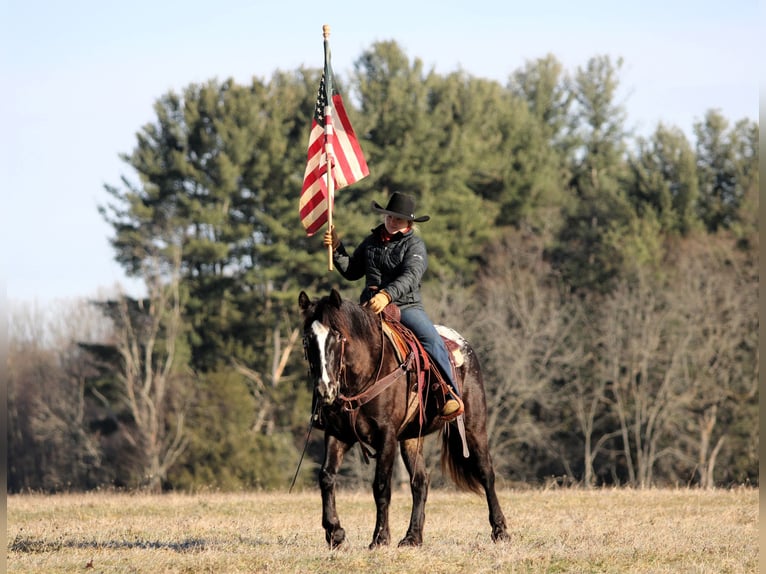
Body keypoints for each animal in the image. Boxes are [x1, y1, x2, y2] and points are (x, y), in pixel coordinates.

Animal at [298, 288, 510, 548]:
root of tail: (464, 345)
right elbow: (326, 477)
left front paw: (380, 537)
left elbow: (381, 486)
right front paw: (335, 533)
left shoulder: (386, 436)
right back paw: (413, 536)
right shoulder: (338, 434)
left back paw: (500, 530)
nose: (325, 389)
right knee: (420, 481)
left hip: (474, 427)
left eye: (337, 336)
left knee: (486, 473)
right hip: (411, 438)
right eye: (308, 339)